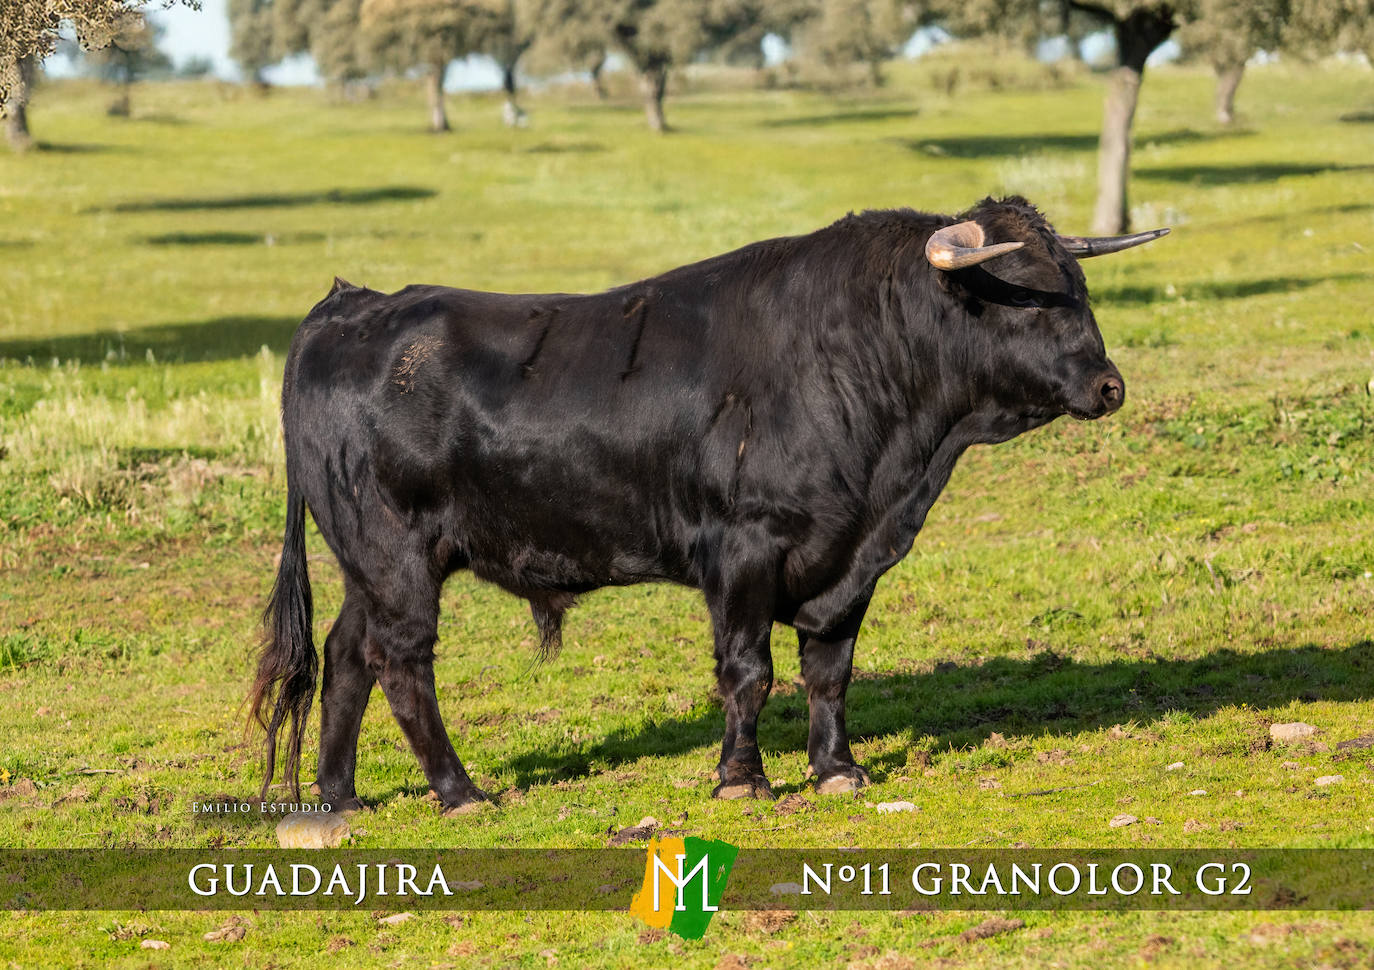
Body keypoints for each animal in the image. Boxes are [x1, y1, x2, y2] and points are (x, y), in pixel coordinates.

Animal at [250, 195, 1170, 807]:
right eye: (1024, 295)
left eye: (1078, 286)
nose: (1110, 385)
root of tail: (350, 305)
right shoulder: (744, 550)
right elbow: (749, 671)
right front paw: (741, 778)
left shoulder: (850, 560)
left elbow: (829, 671)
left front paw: (837, 770)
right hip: (396, 557)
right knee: (402, 666)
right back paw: (459, 791)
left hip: (371, 567)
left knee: (347, 655)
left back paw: (337, 798)